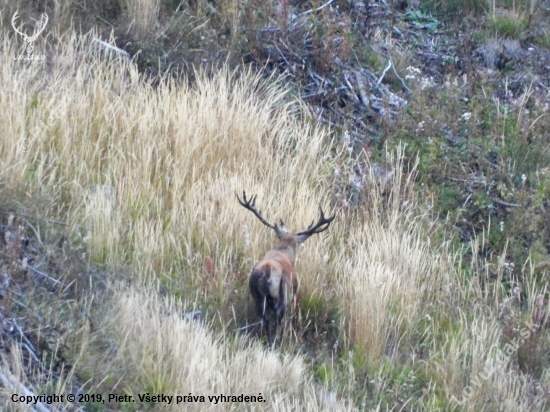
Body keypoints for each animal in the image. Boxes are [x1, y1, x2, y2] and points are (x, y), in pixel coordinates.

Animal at [237, 192, 336, 346]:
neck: (284, 251)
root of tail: (268, 271)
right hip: (284, 293)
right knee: (279, 318)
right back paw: (277, 341)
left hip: (256, 294)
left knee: (265, 318)